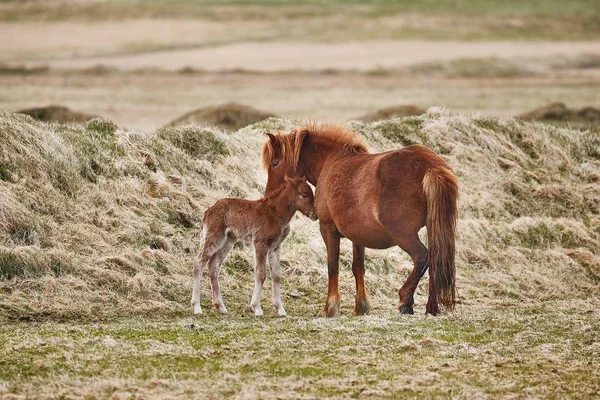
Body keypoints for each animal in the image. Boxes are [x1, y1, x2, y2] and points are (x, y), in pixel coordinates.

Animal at [262, 123, 460, 318]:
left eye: (275, 163)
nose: (268, 196)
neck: (330, 161)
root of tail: (431, 167)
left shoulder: (328, 229)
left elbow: (332, 266)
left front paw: (329, 308)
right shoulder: (358, 236)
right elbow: (358, 267)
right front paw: (361, 306)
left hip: (404, 235)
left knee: (422, 257)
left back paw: (405, 301)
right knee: (434, 259)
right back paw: (431, 307)